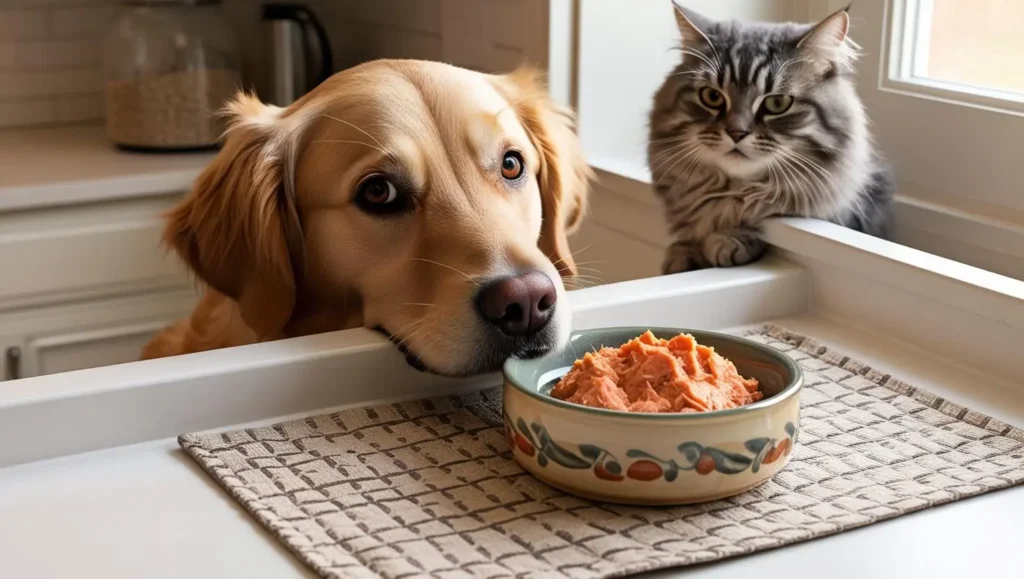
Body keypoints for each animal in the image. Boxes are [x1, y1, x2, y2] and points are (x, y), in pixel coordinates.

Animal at [651, 3, 892, 272]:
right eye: (712, 97)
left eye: (777, 103)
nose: (736, 132)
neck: (732, 191)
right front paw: (682, 256)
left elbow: (759, 214)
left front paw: (728, 241)